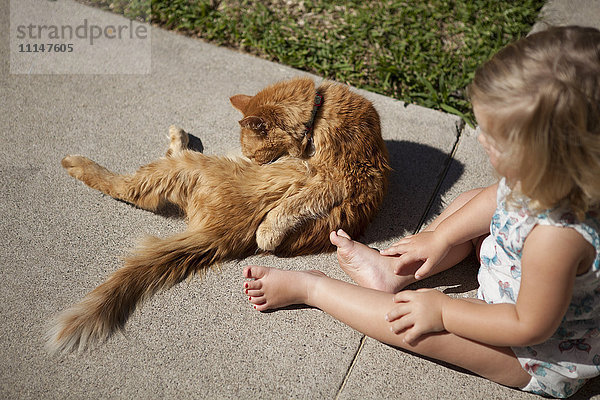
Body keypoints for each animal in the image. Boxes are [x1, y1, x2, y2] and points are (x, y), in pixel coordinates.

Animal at [49, 77, 392, 354]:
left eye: (256, 154)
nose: (255, 163)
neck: (319, 113)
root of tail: (217, 236)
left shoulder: (335, 179)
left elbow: (293, 205)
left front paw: (268, 233)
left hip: (190, 169)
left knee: (132, 189)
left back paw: (78, 163)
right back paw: (178, 134)